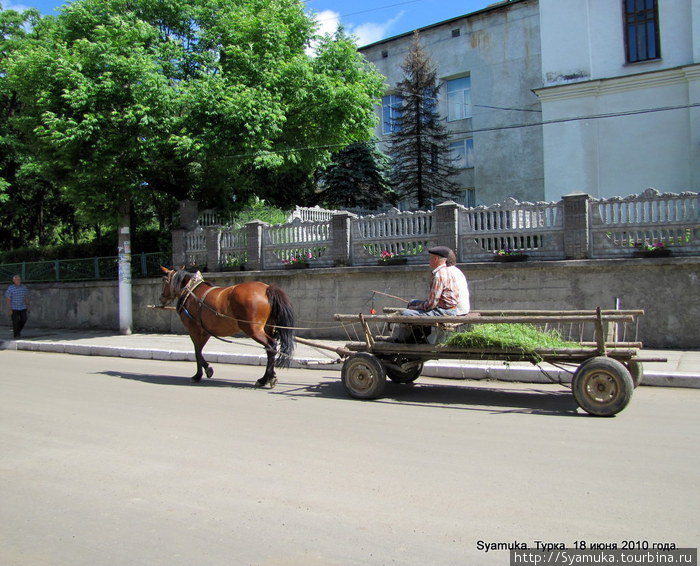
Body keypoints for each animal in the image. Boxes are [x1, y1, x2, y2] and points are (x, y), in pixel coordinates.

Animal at [159, 268, 296, 388]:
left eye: (164, 279)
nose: (161, 298)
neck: (191, 291)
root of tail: (267, 288)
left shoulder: (194, 330)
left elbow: (197, 352)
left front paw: (199, 374)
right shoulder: (205, 331)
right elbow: (199, 351)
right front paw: (206, 370)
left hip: (253, 329)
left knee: (271, 346)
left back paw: (266, 379)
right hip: (268, 327)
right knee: (270, 350)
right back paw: (267, 378)